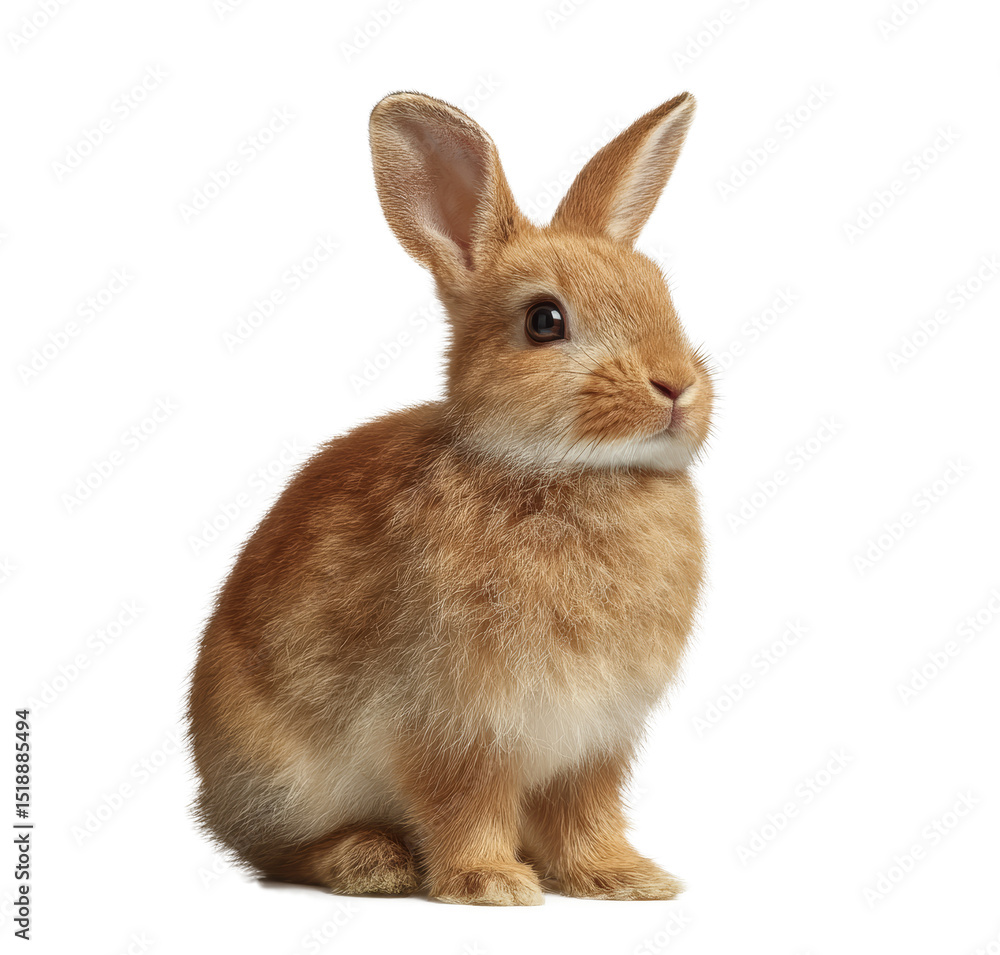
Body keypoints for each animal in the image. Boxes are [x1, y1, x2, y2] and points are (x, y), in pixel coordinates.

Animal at [187, 89, 713, 906]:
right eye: (543, 320)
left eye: (662, 294)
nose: (677, 385)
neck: (565, 474)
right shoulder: (452, 723)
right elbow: (463, 802)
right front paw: (491, 882)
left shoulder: (594, 740)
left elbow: (585, 811)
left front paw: (624, 877)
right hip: (280, 777)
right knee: (274, 849)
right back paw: (369, 861)